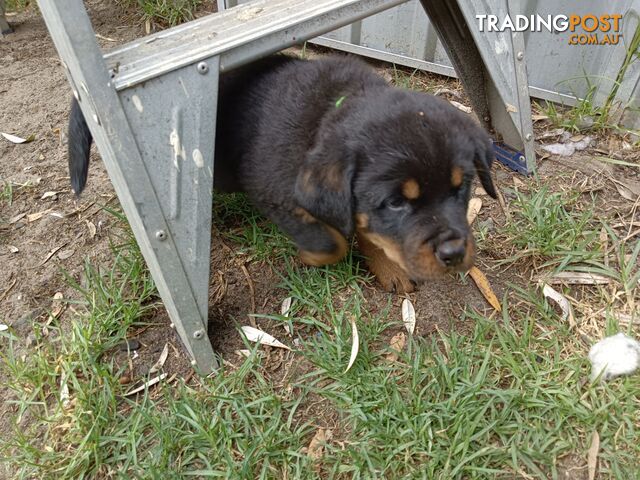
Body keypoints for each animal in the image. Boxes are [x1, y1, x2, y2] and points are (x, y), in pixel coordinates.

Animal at [69, 53, 496, 292]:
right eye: (395, 203)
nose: (455, 253)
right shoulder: (278, 195)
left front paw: (386, 265)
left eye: (462, 188)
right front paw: (310, 256)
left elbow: (364, 227)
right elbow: (330, 242)